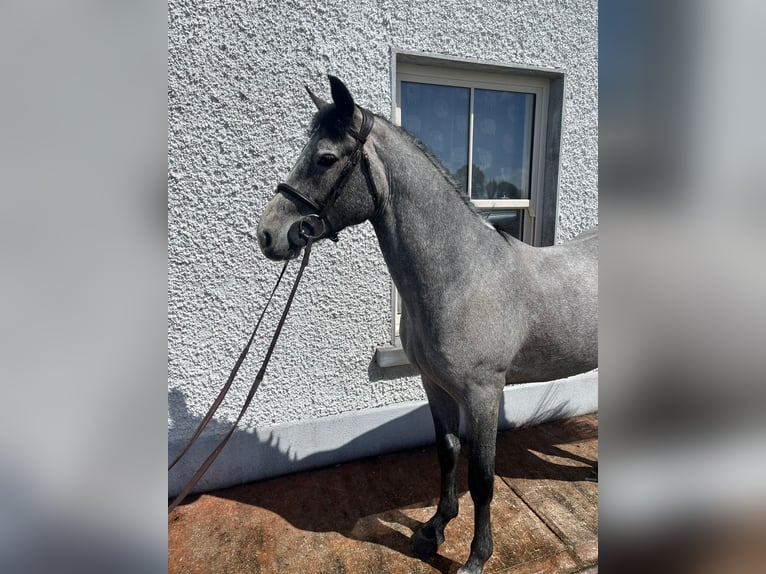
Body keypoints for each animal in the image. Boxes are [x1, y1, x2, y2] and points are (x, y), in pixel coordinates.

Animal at [257, 75, 598, 574]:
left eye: (326, 158)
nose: (267, 234)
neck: (462, 275)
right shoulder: (435, 385)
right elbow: (447, 452)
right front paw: (434, 529)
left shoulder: (483, 393)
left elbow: (482, 476)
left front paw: (476, 556)